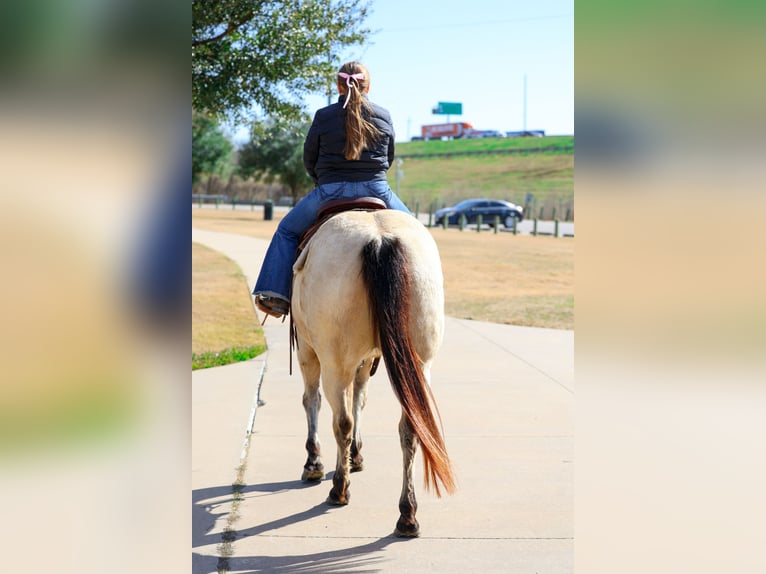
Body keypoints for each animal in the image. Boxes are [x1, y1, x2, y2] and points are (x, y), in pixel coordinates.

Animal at [290, 207, 456, 537]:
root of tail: (380, 240)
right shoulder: (366, 360)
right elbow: (360, 398)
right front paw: (356, 456)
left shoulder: (307, 350)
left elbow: (312, 401)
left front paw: (314, 462)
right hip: (419, 364)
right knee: (410, 428)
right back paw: (407, 514)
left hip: (334, 362)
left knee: (341, 420)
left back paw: (339, 489)